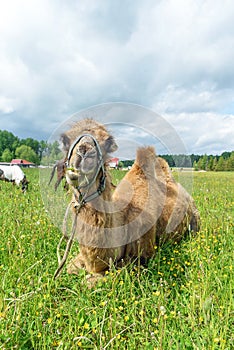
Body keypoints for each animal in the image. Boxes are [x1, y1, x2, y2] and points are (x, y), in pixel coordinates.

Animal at [58, 119, 199, 284]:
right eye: (65, 140)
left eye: (108, 141)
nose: (83, 152)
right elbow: (69, 267)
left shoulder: (142, 256)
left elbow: (94, 280)